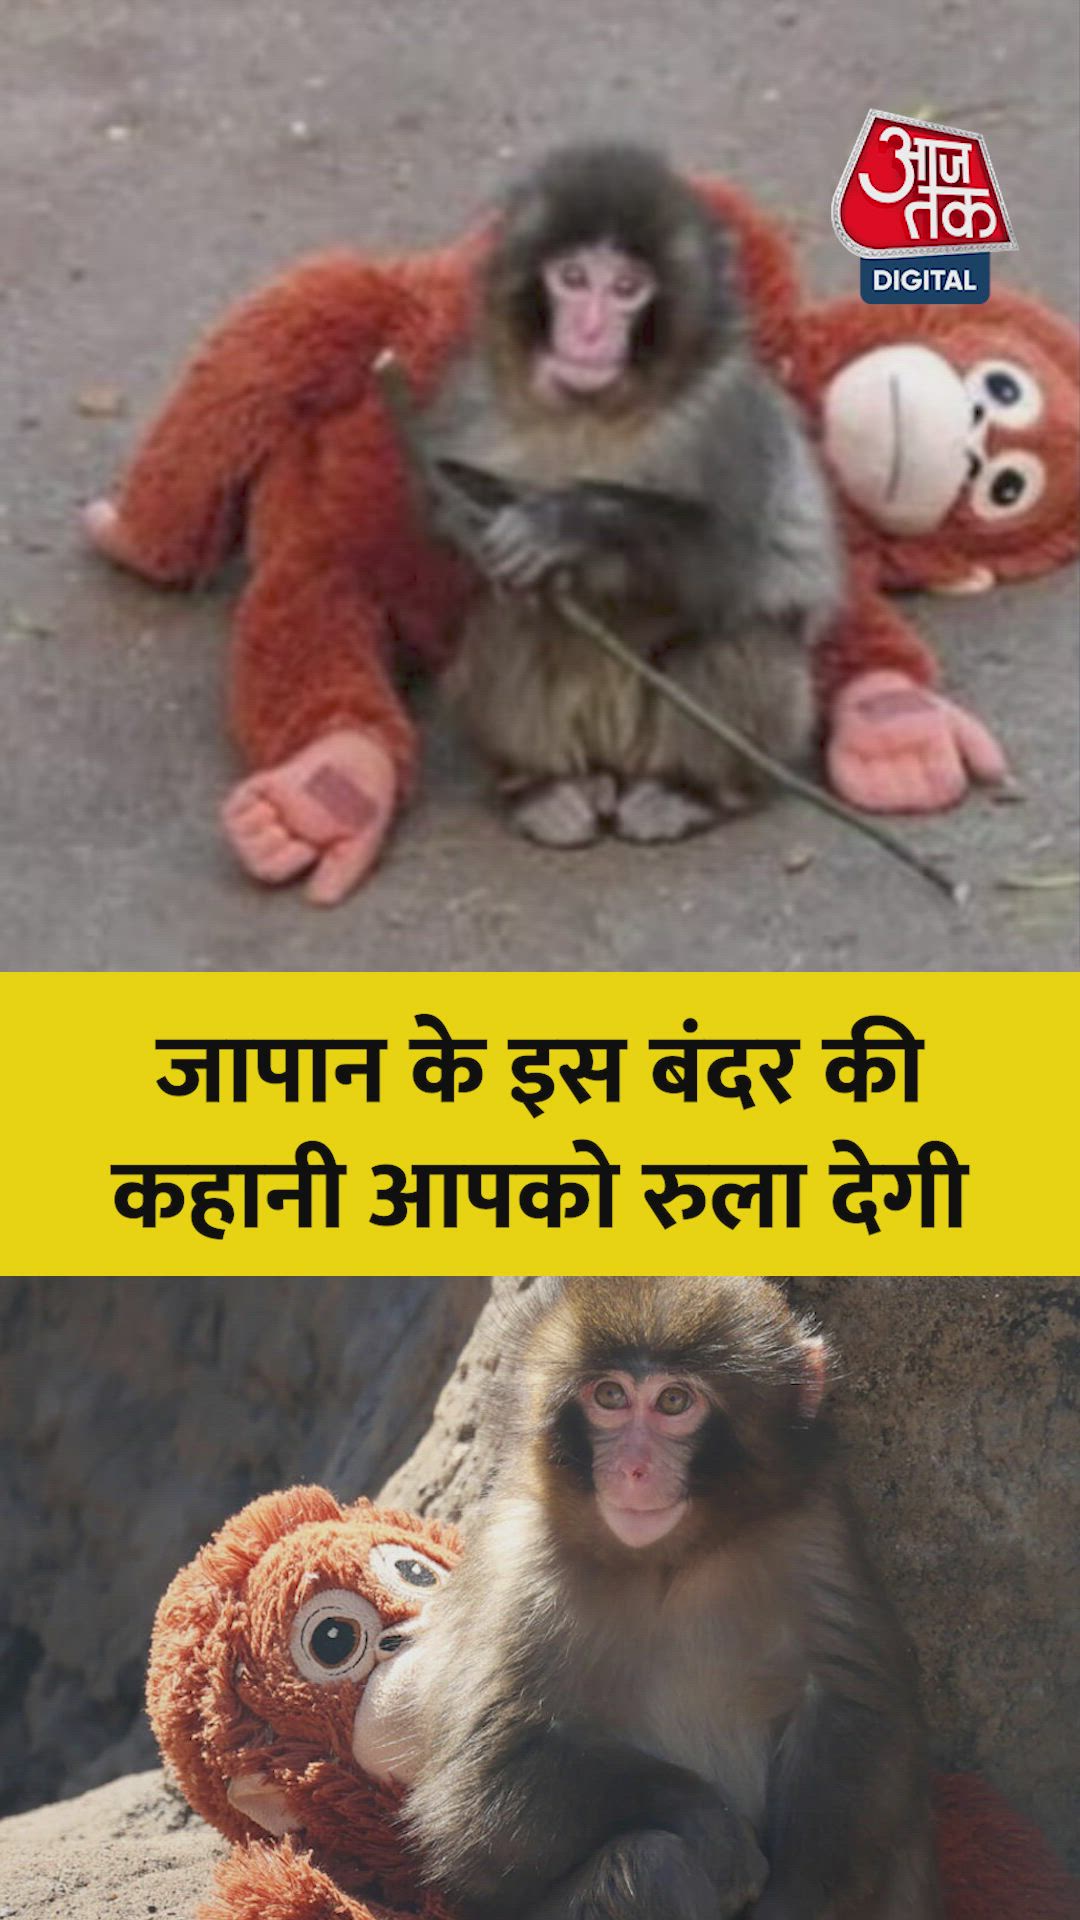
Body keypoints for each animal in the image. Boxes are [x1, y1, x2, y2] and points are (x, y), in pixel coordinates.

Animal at [402, 1278, 942, 1920]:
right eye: (610, 1395)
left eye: (675, 1402)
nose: (633, 1468)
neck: (670, 1561)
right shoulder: (519, 1562)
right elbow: (478, 1791)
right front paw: (712, 1823)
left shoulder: (814, 1528)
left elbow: (855, 1712)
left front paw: (794, 1899)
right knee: (648, 1865)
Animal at [422, 143, 842, 849]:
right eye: (572, 277)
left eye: (625, 289)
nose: (589, 332)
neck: (595, 412)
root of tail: (616, 764)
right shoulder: (471, 395)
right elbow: (439, 533)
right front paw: (472, 510)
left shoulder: (725, 417)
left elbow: (724, 571)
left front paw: (571, 522)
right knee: (511, 620)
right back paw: (543, 786)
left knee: (737, 640)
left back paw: (688, 791)